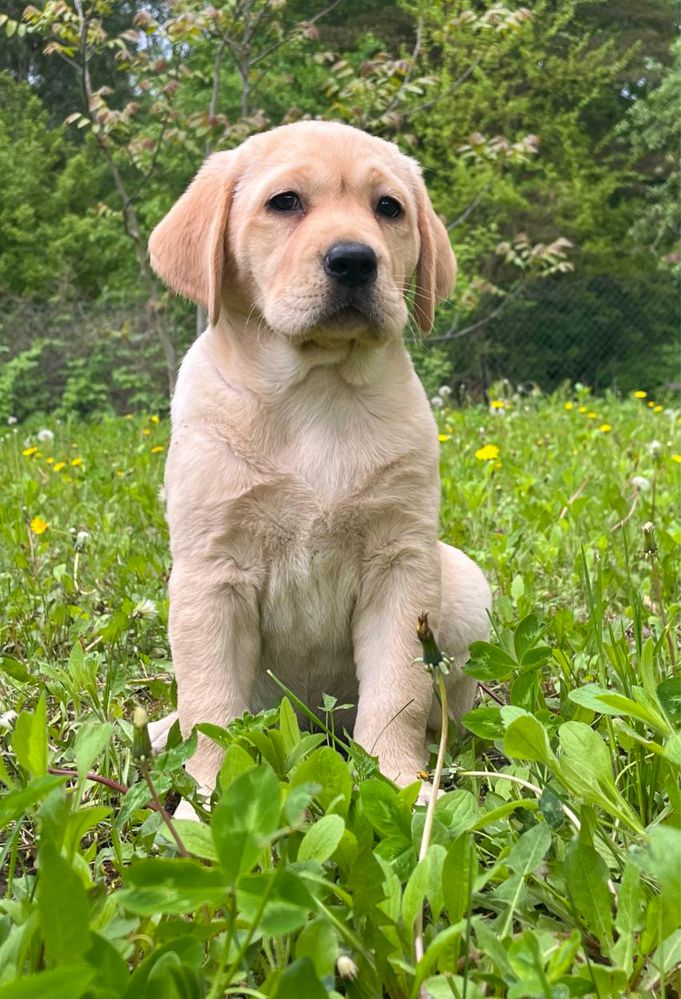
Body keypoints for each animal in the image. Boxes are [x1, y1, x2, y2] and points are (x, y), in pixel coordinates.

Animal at [149, 119, 488, 812]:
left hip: (464, 584)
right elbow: (209, 705)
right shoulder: (211, 576)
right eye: (285, 203)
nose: (355, 259)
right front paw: (205, 800)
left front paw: (398, 783)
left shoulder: (400, 565)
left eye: (389, 208)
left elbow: (397, 691)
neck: (316, 391)